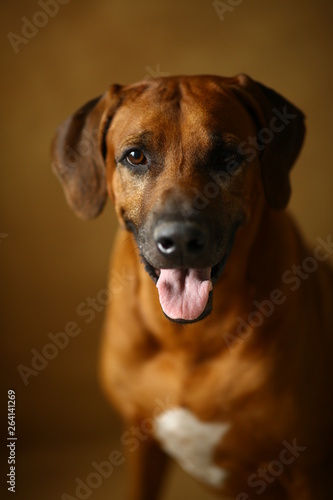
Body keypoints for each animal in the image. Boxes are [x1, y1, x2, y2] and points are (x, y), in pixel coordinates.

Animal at [52, 74, 332, 500]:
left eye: (228, 157)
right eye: (136, 156)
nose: (181, 240)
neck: (188, 339)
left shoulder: (307, 468)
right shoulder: (140, 440)